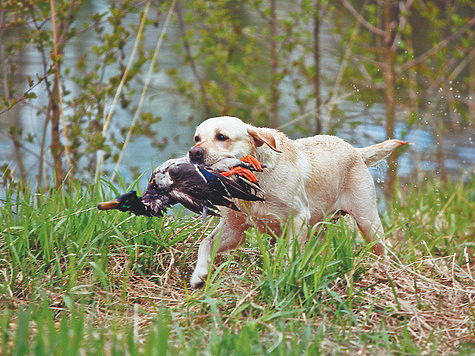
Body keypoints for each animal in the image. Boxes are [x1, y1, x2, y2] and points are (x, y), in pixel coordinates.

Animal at [188, 115, 408, 288]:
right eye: (197, 138)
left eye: (222, 137)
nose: (193, 152)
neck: (257, 179)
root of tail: (354, 150)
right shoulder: (234, 228)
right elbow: (204, 243)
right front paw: (199, 275)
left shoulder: (299, 218)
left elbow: (290, 252)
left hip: (368, 222)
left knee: (382, 251)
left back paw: (386, 275)